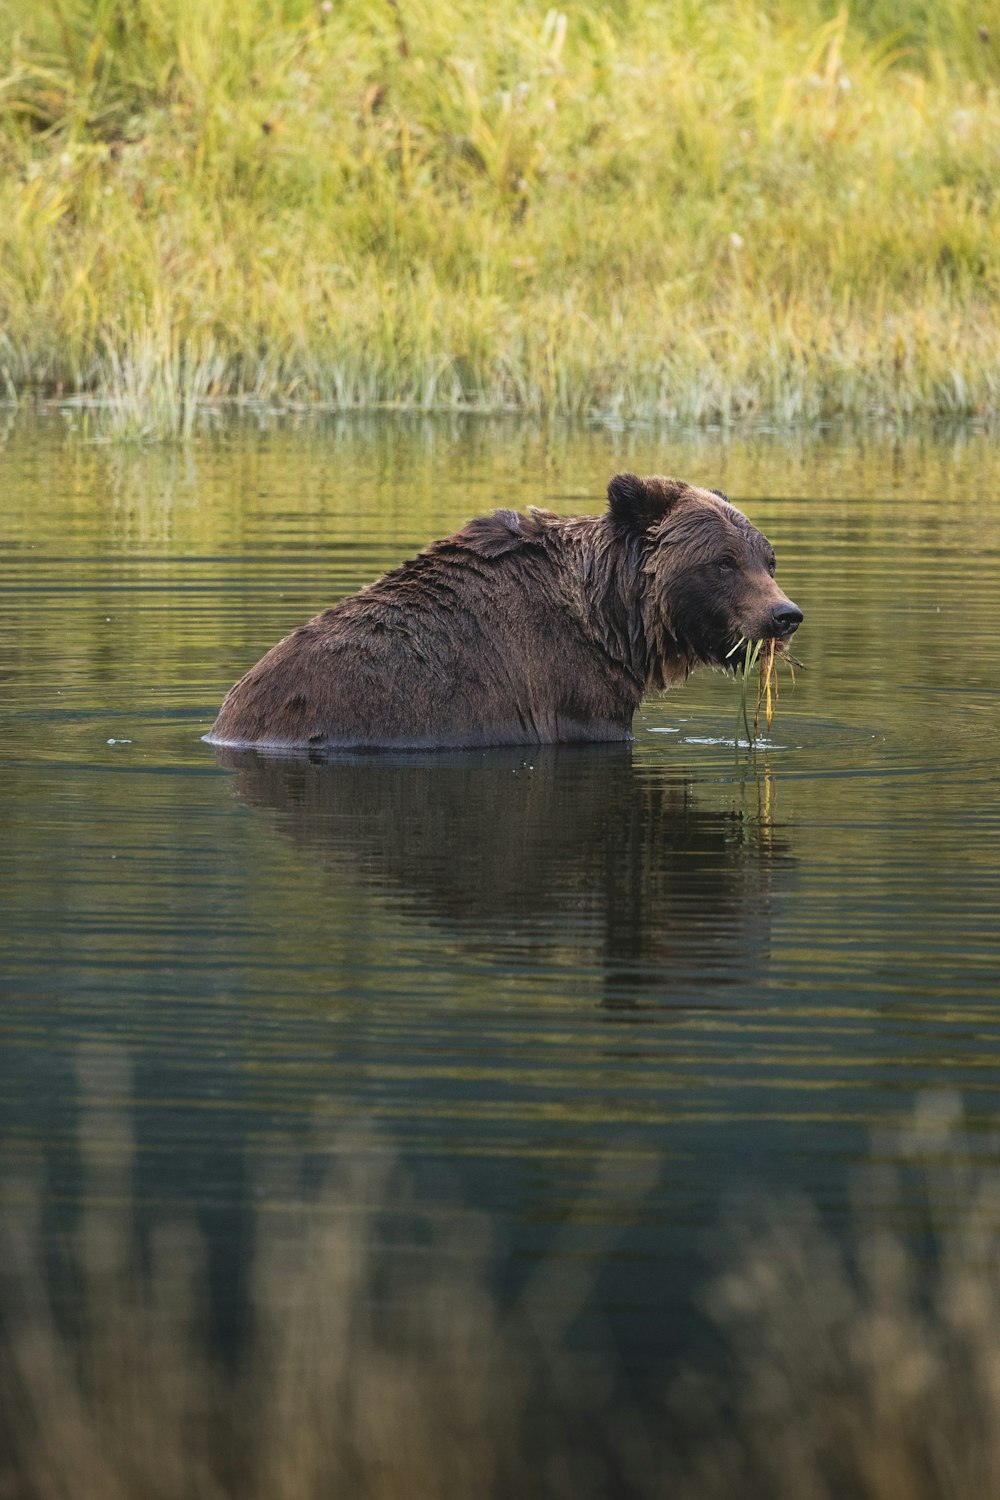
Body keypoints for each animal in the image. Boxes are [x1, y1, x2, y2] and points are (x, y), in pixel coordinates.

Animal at [206, 468, 803, 750]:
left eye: (767, 558)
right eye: (723, 562)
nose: (785, 615)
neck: (613, 624)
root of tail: (227, 721)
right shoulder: (569, 689)